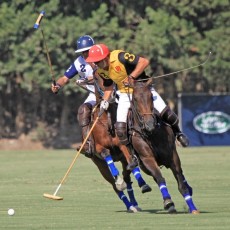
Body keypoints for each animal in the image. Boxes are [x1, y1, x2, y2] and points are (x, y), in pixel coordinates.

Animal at [129, 79, 199, 214]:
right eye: (135, 98)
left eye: (151, 97)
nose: (150, 124)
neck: (151, 134)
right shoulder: (147, 159)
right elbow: (160, 178)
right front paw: (168, 202)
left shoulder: (173, 156)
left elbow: (181, 184)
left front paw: (193, 208)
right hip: (144, 166)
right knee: (156, 178)